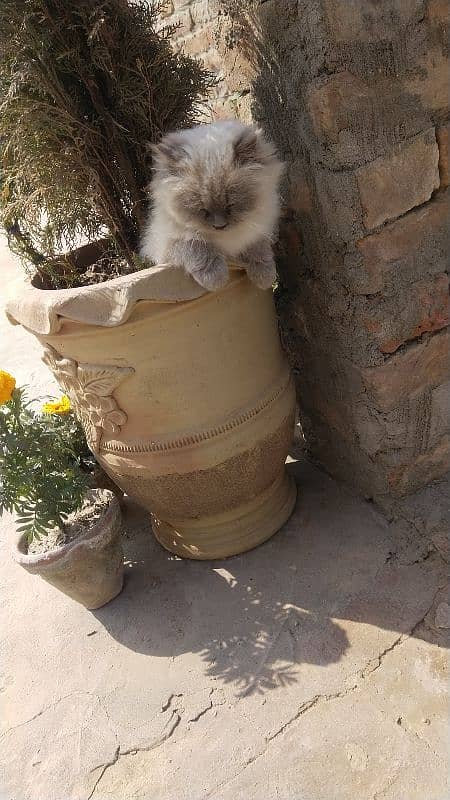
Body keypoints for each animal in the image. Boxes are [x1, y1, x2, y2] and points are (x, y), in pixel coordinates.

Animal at [141, 120, 284, 290]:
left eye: (231, 205)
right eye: (202, 209)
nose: (219, 226)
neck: (227, 239)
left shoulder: (257, 230)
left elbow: (259, 249)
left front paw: (264, 277)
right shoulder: (171, 242)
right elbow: (196, 246)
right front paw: (216, 279)